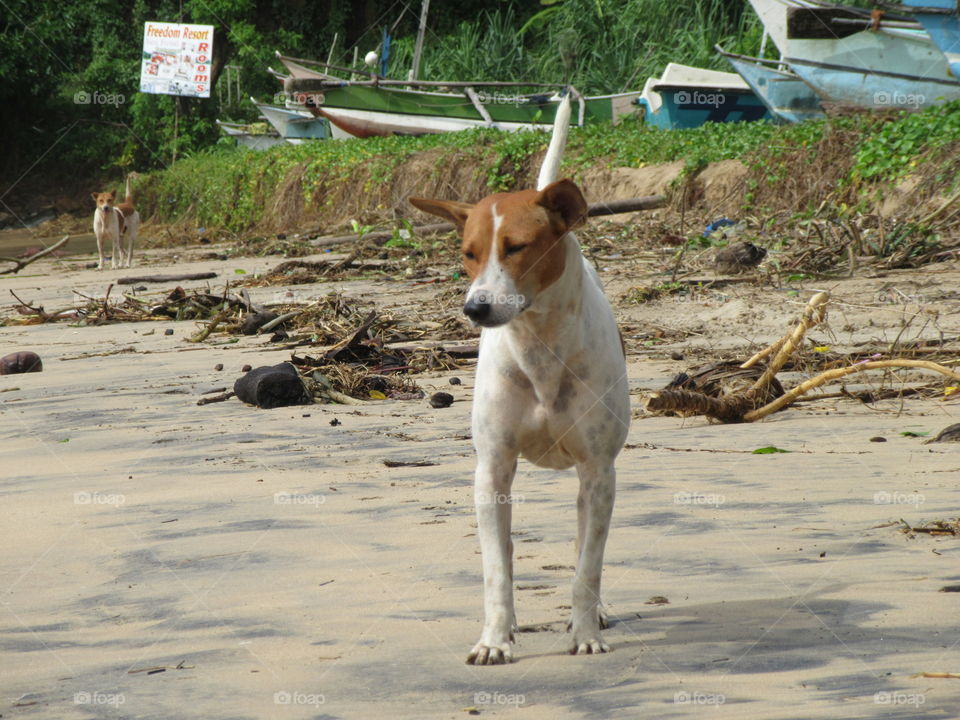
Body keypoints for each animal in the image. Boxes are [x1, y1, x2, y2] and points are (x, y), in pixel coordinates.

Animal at [410, 98, 632, 668]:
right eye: (468, 252)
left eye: (516, 247)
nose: (475, 308)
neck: (539, 345)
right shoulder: (491, 471)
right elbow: (497, 569)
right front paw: (495, 637)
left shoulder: (599, 471)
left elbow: (587, 565)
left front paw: (585, 632)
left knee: (585, 545)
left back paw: (594, 611)